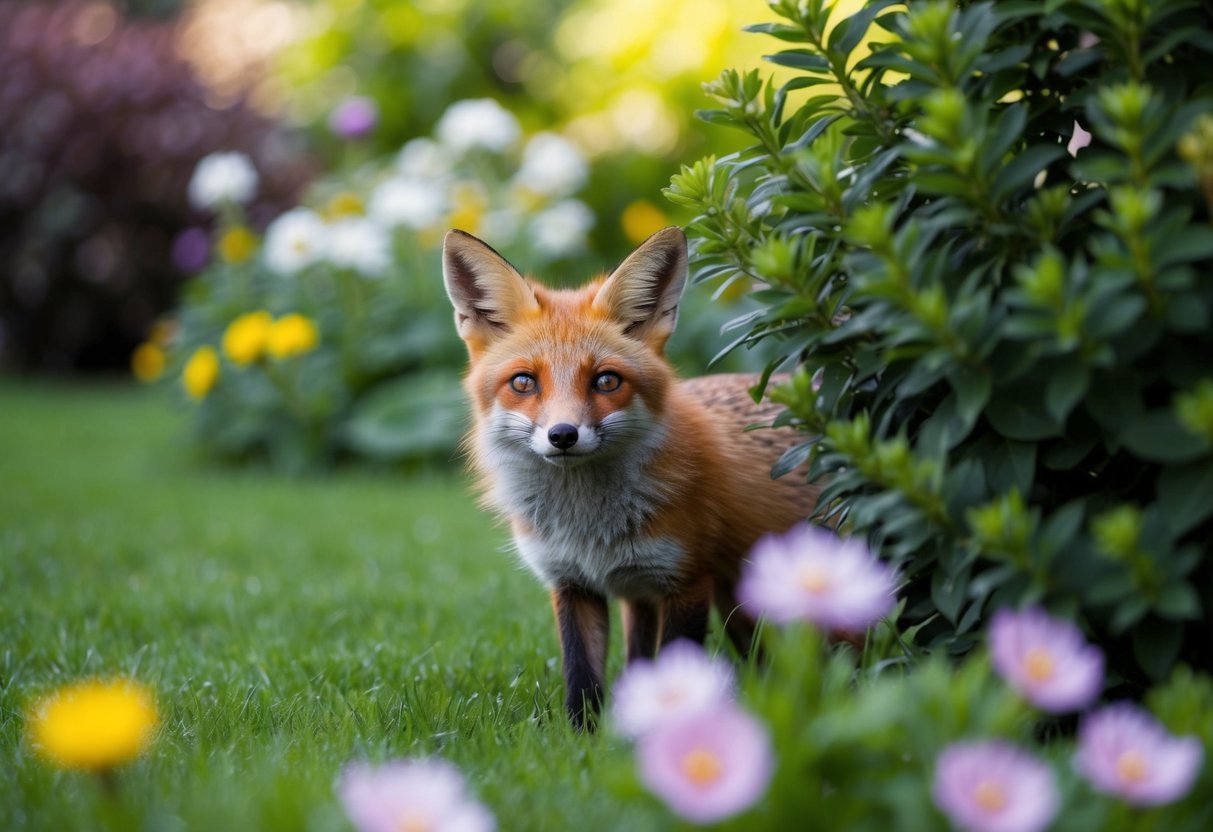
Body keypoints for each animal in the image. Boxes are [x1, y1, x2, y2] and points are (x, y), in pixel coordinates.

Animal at [442, 226, 818, 728]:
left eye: (606, 381)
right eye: (524, 382)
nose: (563, 435)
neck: (588, 527)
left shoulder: (686, 581)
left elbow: (677, 667)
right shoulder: (575, 584)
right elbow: (583, 676)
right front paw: (585, 737)